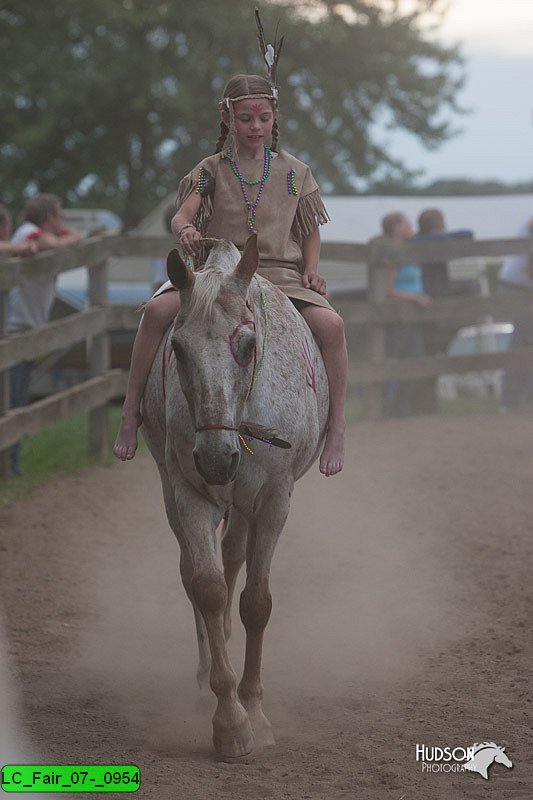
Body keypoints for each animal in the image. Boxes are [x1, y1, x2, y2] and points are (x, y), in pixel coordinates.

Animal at [141, 234, 328, 760]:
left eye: (247, 344)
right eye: (177, 348)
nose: (215, 458)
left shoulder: (273, 499)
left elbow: (256, 602)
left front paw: (256, 711)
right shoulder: (188, 493)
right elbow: (207, 587)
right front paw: (229, 721)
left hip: (244, 503)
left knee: (234, 556)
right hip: (177, 492)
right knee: (198, 571)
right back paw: (208, 668)